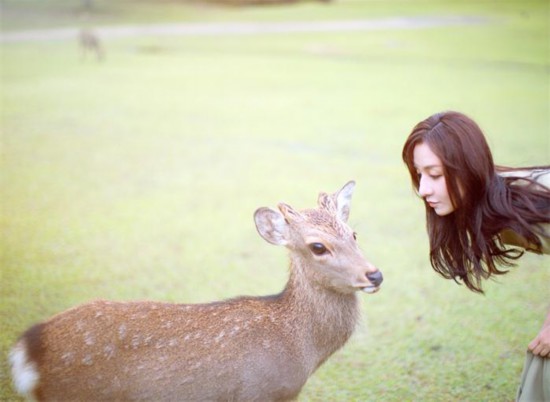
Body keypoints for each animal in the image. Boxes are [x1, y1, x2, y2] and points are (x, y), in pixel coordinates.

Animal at [10, 182, 386, 402]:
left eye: (354, 234)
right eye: (318, 246)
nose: (375, 274)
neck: (301, 351)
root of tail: (27, 350)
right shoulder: (257, 392)